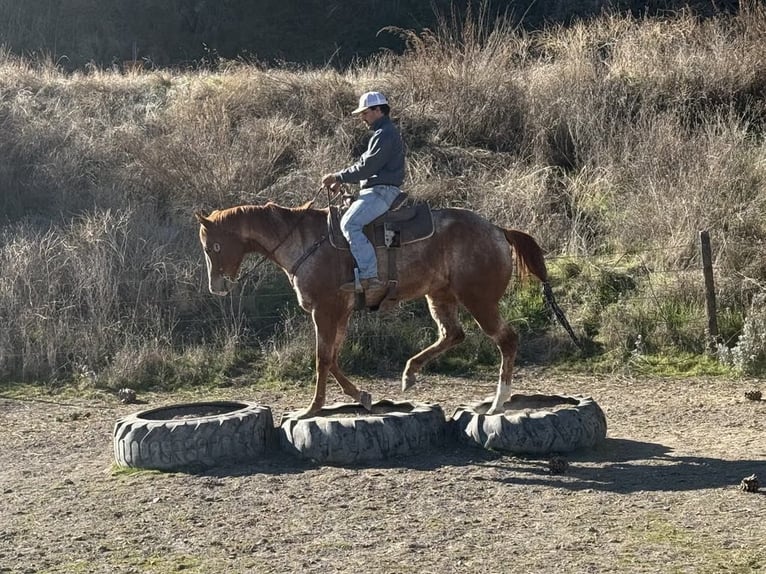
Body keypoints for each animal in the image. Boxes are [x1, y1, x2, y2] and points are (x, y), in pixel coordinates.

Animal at [195, 200, 578, 418]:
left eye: (213, 246)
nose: (216, 287)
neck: (304, 243)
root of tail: (498, 230)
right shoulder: (341, 312)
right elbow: (333, 358)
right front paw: (362, 396)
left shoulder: (325, 310)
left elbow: (322, 358)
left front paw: (311, 409)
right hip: (440, 296)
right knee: (452, 335)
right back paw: (410, 373)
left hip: (479, 300)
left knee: (506, 340)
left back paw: (498, 402)